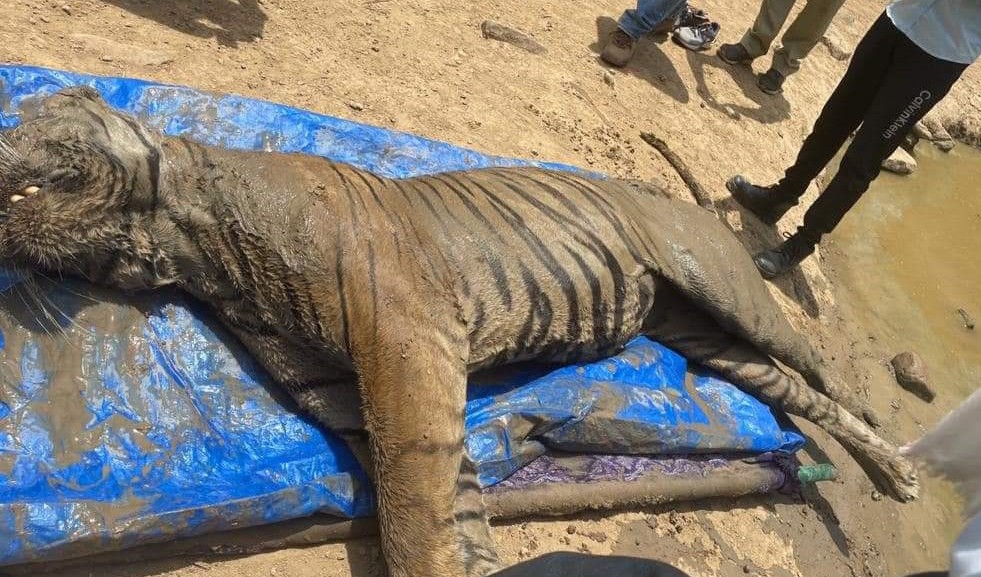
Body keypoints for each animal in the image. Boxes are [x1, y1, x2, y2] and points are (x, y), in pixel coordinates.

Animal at [0, 86, 918, 577]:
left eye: (31, 117)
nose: (1, 140)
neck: (183, 238)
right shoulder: (341, 389)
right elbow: (447, 496)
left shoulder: (402, 347)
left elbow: (410, 505)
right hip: (705, 337)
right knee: (797, 394)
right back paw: (895, 470)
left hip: (723, 290)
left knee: (820, 374)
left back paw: (903, 457)